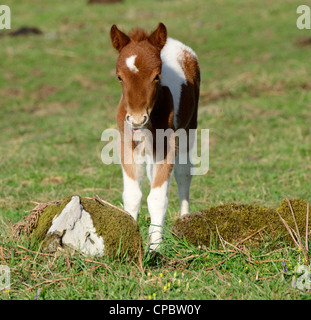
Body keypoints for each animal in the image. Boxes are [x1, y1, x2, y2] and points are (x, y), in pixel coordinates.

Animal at [111, 23, 201, 250]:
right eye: (119, 76)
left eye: (157, 76)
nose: (136, 119)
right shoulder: (128, 145)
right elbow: (133, 196)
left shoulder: (167, 146)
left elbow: (158, 197)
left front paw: (155, 248)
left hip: (189, 128)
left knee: (183, 173)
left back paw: (184, 219)